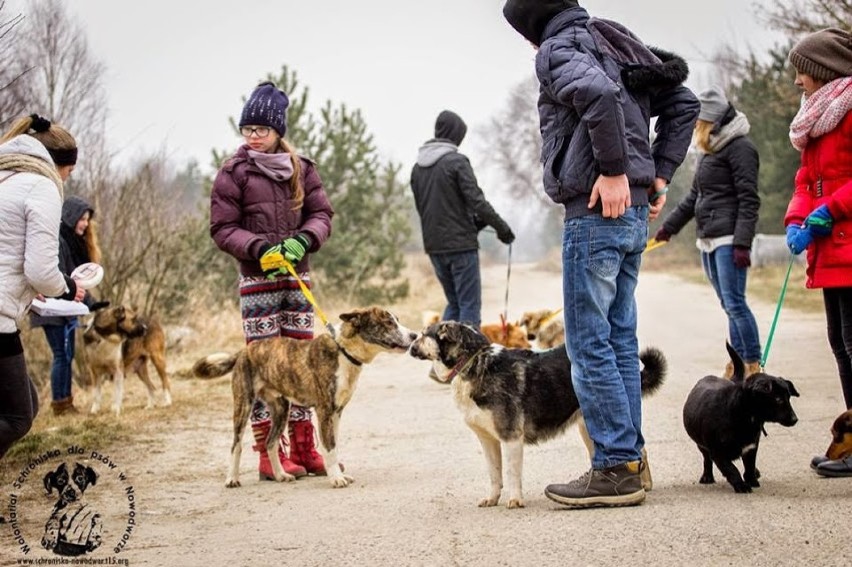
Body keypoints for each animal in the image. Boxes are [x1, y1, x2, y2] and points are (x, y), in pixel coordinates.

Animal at [193, 308, 420, 490]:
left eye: (397, 320)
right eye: (388, 322)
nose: (414, 335)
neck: (343, 351)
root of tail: (245, 350)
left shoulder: (336, 413)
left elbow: (334, 447)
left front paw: (338, 473)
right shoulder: (325, 411)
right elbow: (329, 447)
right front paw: (336, 478)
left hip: (281, 409)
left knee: (270, 442)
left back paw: (280, 475)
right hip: (244, 404)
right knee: (236, 445)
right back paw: (232, 478)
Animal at [684, 344, 804, 494]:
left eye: (788, 397)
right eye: (778, 399)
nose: (795, 419)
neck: (745, 415)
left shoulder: (751, 447)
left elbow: (749, 466)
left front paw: (751, 480)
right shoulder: (718, 453)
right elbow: (732, 469)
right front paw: (741, 485)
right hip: (702, 445)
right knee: (706, 459)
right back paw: (707, 476)